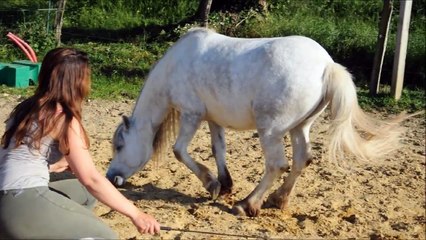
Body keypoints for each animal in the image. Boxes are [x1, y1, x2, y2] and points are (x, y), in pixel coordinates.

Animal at [106, 27, 406, 217]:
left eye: (119, 145)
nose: (110, 178)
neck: (176, 65)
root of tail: (326, 66)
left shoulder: (192, 115)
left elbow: (180, 151)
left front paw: (211, 184)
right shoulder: (214, 120)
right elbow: (218, 149)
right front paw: (225, 184)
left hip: (270, 131)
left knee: (277, 165)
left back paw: (247, 205)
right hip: (299, 128)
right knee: (301, 160)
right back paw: (278, 200)